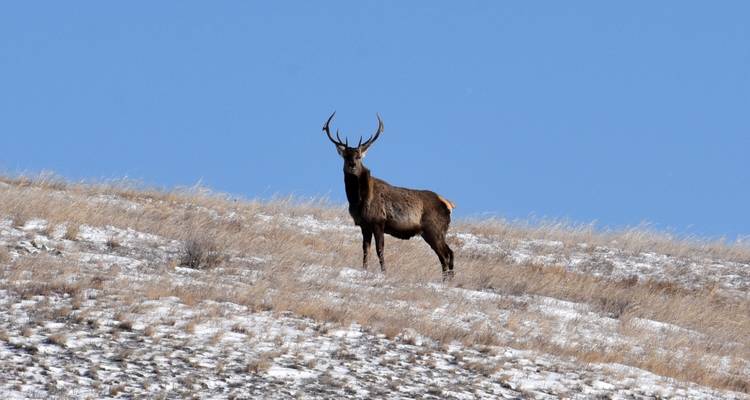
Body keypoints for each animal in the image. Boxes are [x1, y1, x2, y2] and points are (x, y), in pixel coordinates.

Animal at [321, 112, 456, 280]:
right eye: (346, 156)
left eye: (359, 156)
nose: (352, 165)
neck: (358, 200)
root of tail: (449, 205)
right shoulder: (364, 225)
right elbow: (365, 250)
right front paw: (364, 269)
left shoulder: (379, 221)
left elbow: (380, 249)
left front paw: (384, 271)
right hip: (434, 232)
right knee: (449, 253)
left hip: (434, 229)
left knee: (446, 254)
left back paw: (446, 280)